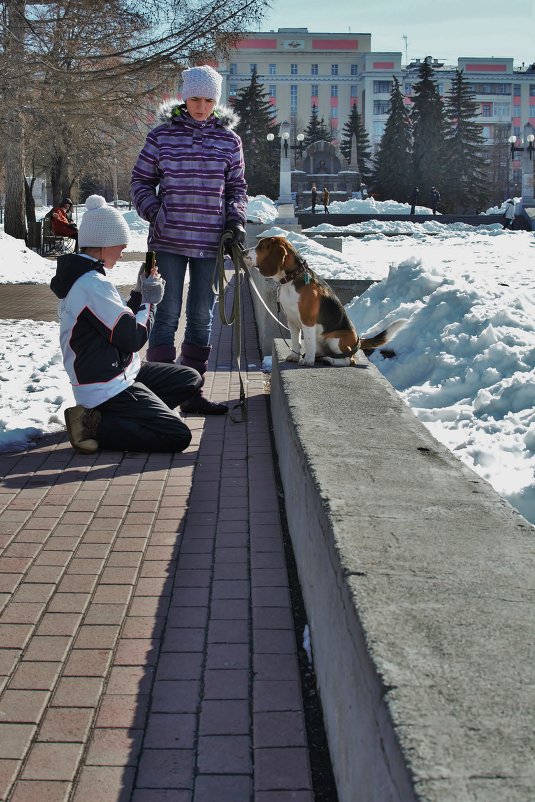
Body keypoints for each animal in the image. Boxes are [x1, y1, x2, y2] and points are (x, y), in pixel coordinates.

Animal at [255, 234, 406, 366]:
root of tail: (357, 340)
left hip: (335, 340)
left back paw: (328, 360)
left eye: (260, 247)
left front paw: (307, 361)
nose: (247, 251)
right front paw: (294, 356)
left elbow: (308, 341)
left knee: (348, 361)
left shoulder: (308, 320)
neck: (292, 277)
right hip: (321, 341)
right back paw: (321, 357)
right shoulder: (291, 321)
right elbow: (295, 341)